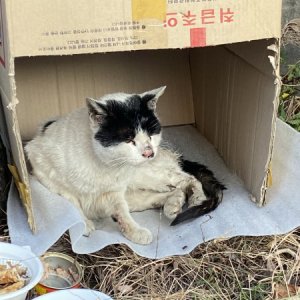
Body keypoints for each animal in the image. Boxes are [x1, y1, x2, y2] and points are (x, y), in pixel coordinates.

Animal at [24, 86, 224, 244]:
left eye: (151, 134)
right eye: (128, 139)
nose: (149, 152)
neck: (102, 166)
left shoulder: (115, 191)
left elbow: (121, 211)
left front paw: (134, 231)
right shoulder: (45, 172)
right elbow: (72, 200)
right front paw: (84, 223)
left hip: (146, 175)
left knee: (186, 179)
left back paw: (195, 198)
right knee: (163, 194)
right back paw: (173, 204)